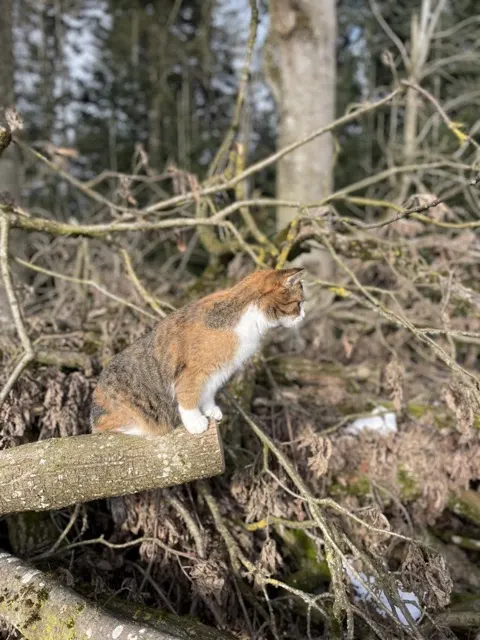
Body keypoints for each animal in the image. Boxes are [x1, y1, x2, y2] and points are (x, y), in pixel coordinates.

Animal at [91, 264, 304, 436]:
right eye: (299, 303)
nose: (303, 316)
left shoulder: (218, 371)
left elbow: (208, 392)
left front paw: (210, 410)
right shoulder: (193, 371)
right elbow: (188, 396)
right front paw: (195, 422)